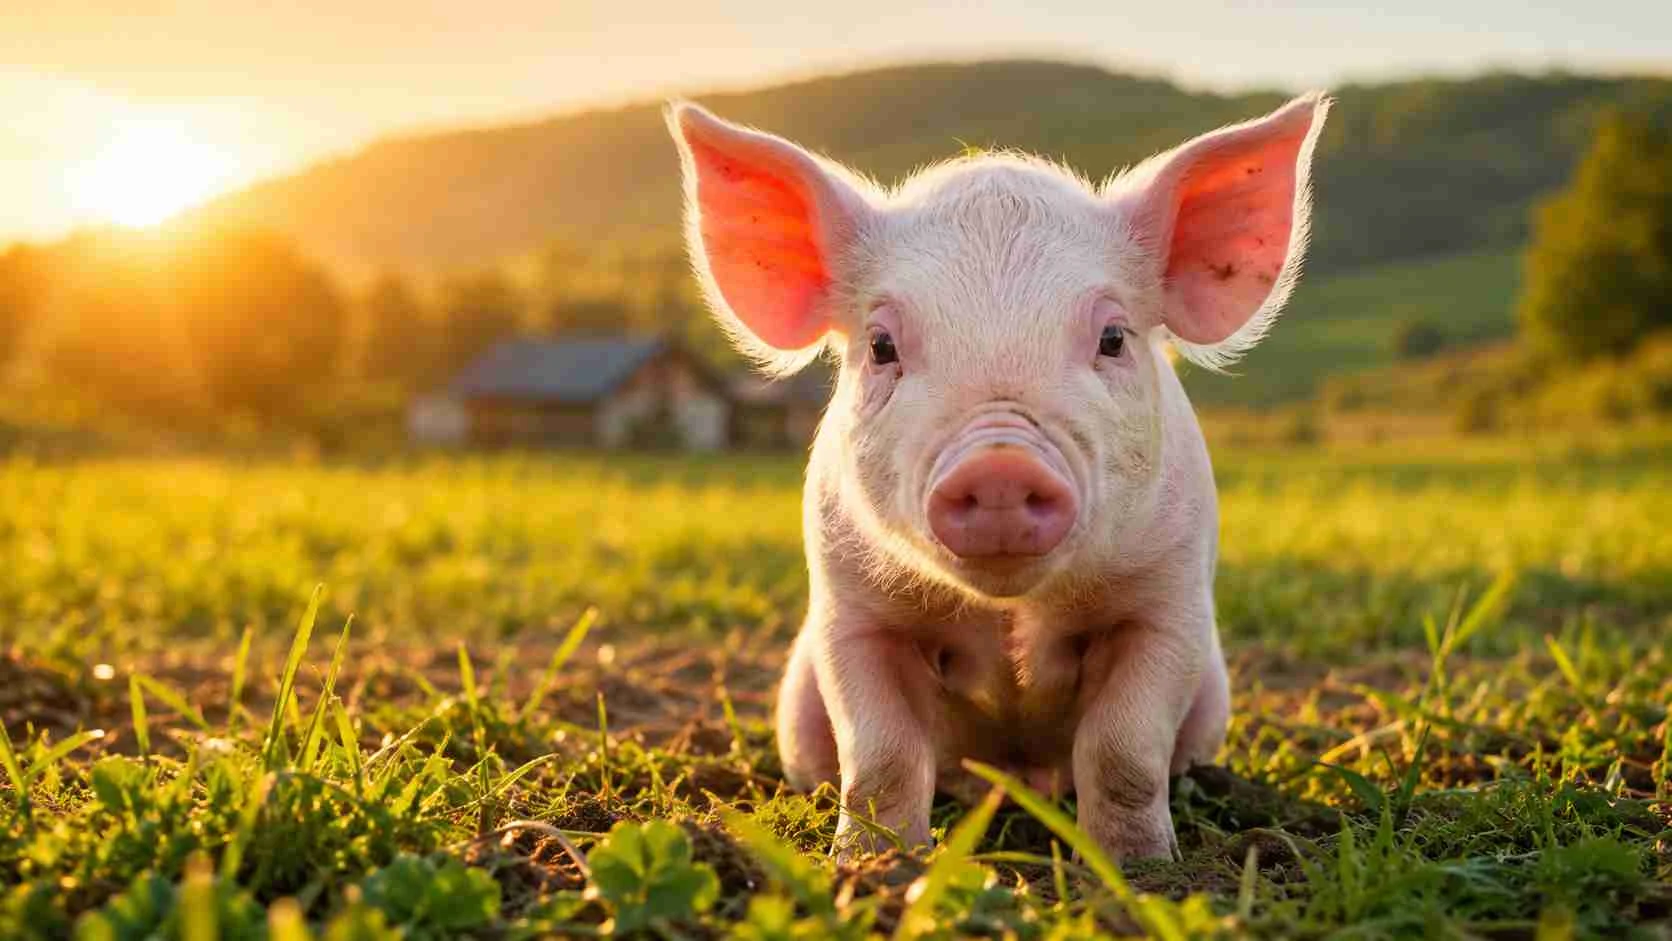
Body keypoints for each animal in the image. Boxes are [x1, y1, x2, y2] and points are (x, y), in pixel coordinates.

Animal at [667, 92, 1329, 863]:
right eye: (881, 345)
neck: (1010, 613)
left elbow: (1123, 749)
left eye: (1113, 338)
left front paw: (1140, 865)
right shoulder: (849, 610)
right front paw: (876, 863)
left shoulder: (1171, 603)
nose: (1001, 464)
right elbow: (882, 757)